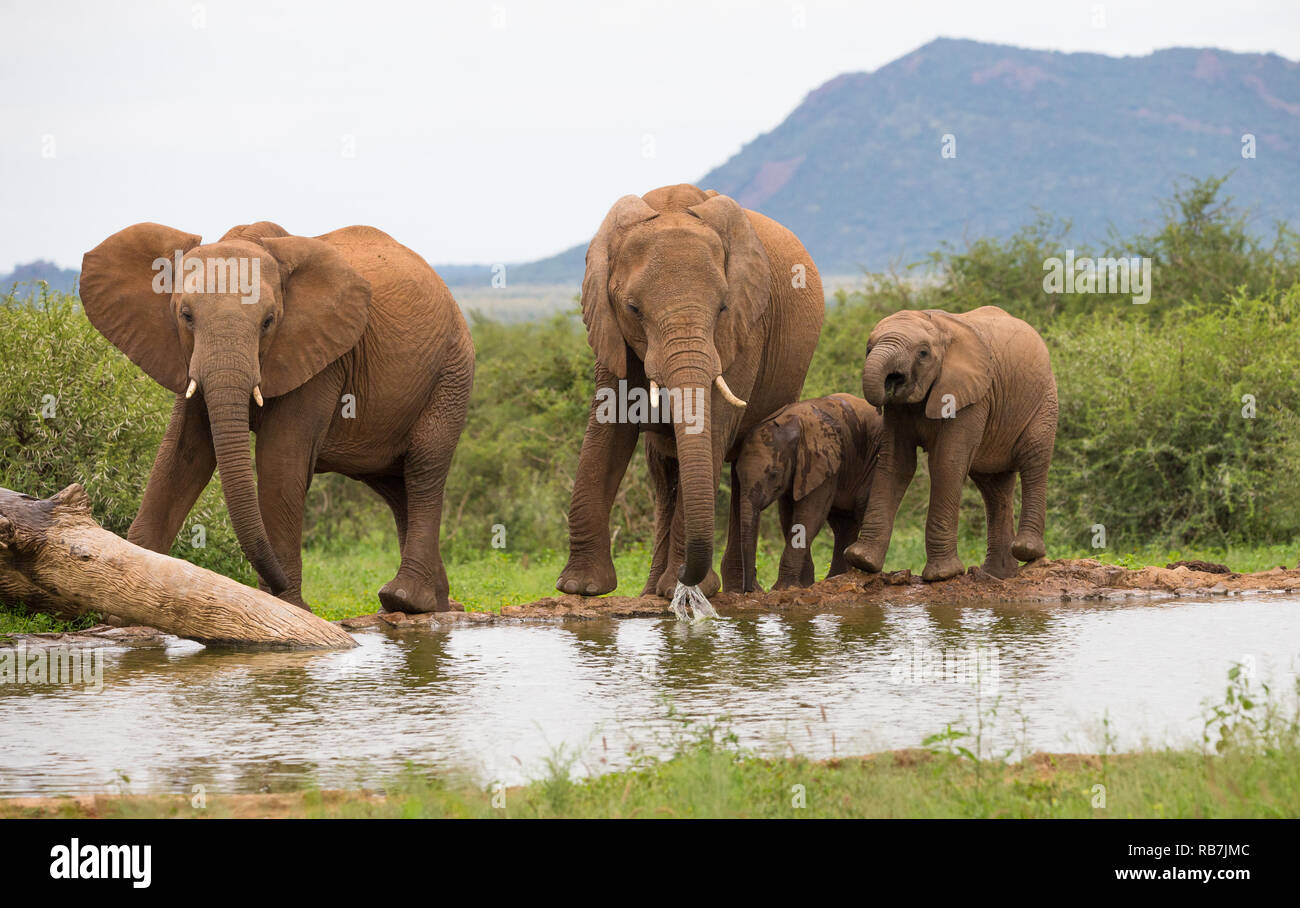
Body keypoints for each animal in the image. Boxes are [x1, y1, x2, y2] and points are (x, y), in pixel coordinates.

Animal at [79, 220, 474, 613]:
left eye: (269, 321)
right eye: (185, 316)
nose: (277, 583)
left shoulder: (319, 359)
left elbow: (279, 464)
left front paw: (290, 607)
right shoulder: (184, 357)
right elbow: (181, 457)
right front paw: (127, 592)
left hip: (451, 374)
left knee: (422, 467)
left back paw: (406, 600)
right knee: (394, 486)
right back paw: (435, 606)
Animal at [554, 184, 825, 599]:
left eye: (723, 307)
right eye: (633, 309)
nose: (686, 574)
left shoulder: (747, 328)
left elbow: (711, 427)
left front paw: (684, 589)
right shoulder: (611, 331)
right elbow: (609, 426)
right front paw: (580, 587)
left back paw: (732, 591)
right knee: (664, 471)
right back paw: (654, 591)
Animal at [732, 393, 883, 591]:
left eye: (773, 474)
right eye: (737, 473)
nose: (750, 589)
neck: (789, 420)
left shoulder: (823, 462)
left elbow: (809, 515)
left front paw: (784, 588)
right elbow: (788, 517)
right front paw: (803, 585)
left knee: (860, 507)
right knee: (842, 524)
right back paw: (834, 578)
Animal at [843, 305, 1057, 582]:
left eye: (923, 353)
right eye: (868, 349)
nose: (888, 386)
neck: (939, 328)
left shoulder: (971, 396)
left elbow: (947, 462)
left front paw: (942, 575)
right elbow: (896, 464)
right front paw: (863, 561)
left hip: (1044, 399)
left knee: (1034, 460)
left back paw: (1027, 552)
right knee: (994, 486)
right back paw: (997, 576)